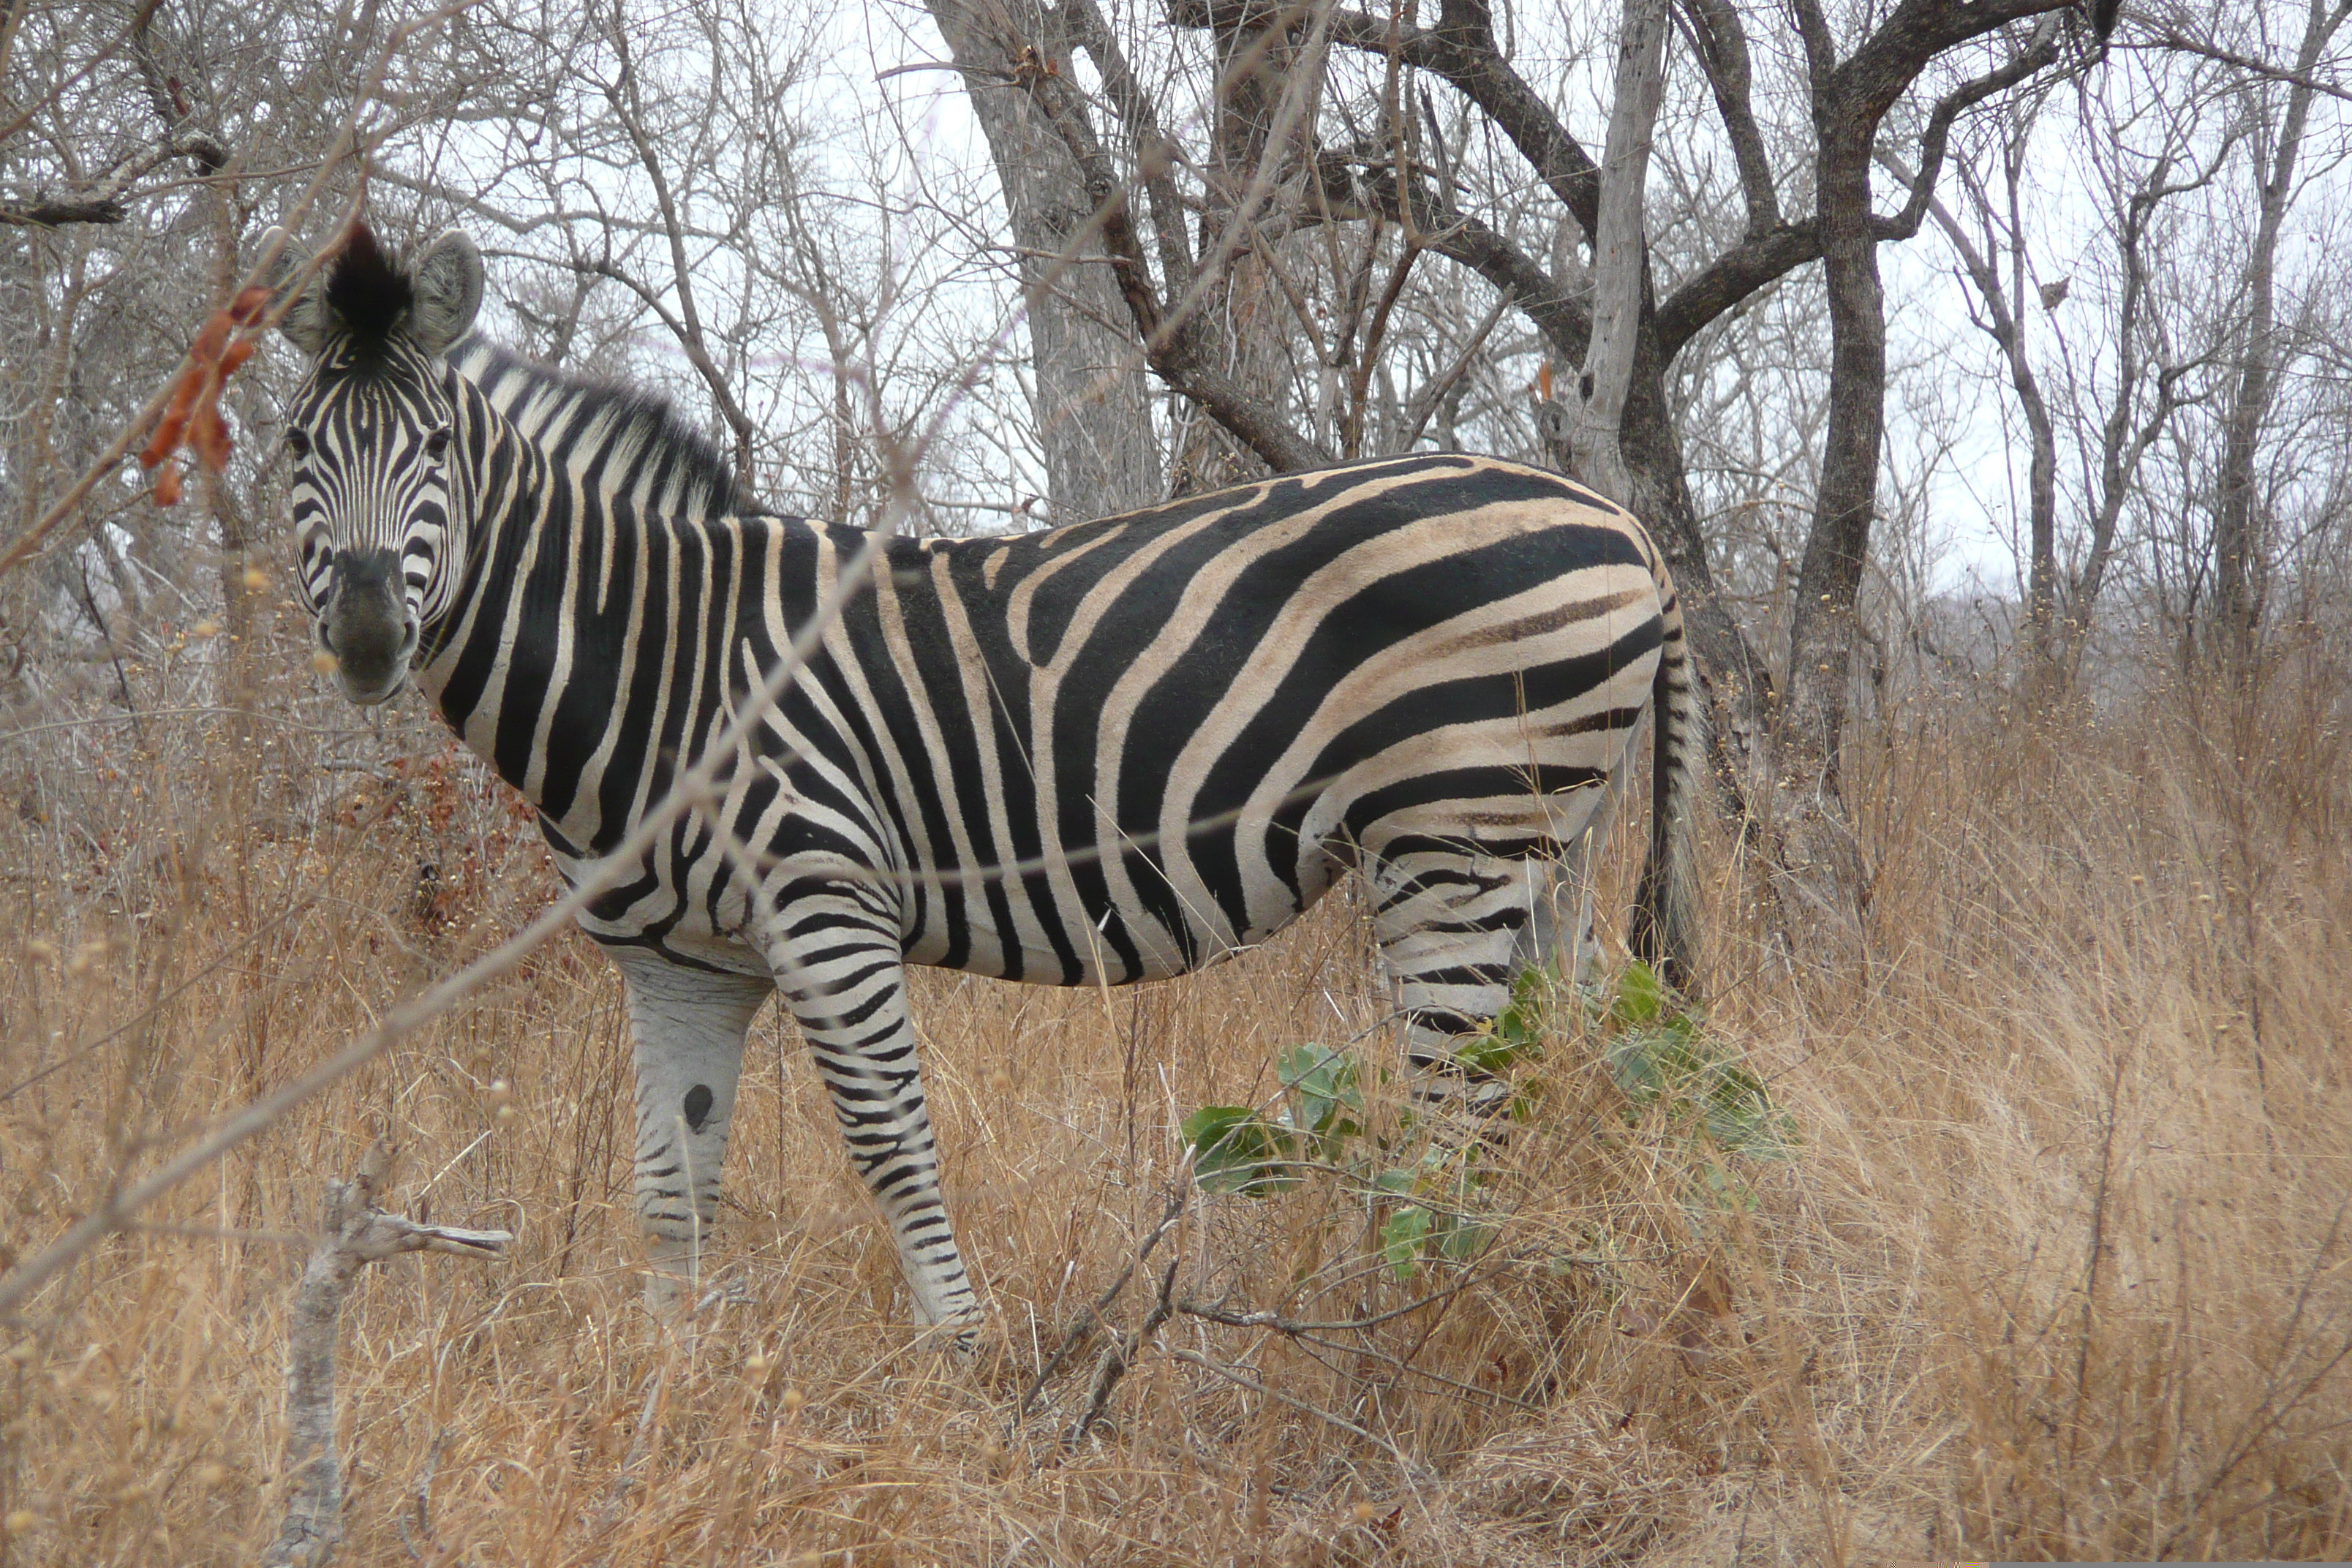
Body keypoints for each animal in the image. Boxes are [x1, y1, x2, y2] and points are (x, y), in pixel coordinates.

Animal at [275, 221, 1703, 1335]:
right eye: (293, 449)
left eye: (436, 446)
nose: (367, 636)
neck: (662, 660)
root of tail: (1622, 525)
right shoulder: (680, 963)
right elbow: (670, 1192)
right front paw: (668, 1400)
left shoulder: (824, 902)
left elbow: (892, 1145)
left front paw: (963, 1361)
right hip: (1549, 847)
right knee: (1565, 1064)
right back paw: (1530, 1287)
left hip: (1453, 839)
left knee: (1463, 1112)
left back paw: (1418, 1320)